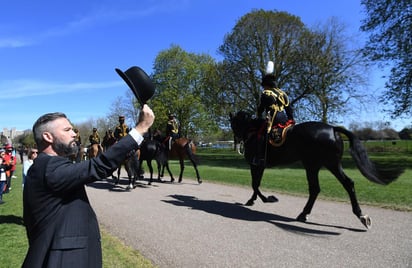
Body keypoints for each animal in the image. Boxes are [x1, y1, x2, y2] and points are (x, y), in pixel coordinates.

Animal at [230, 111, 404, 228]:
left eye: (233, 124)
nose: (237, 141)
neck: (253, 132)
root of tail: (333, 129)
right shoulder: (259, 166)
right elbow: (256, 184)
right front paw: (254, 200)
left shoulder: (256, 164)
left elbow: (255, 184)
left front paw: (266, 199)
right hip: (331, 164)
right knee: (347, 184)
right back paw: (360, 215)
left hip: (312, 165)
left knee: (315, 189)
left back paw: (303, 214)